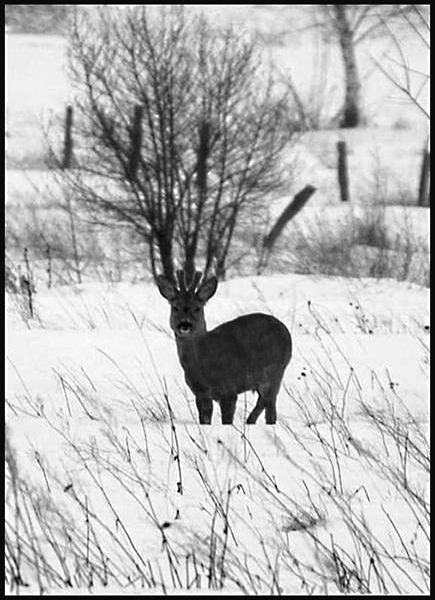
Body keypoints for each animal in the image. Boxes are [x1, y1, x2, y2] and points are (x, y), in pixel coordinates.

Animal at [157, 270, 292, 424]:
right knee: (269, 407)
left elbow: (227, 419)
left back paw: (250, 420)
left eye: (197, 308)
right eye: (175, 307)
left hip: (274, 372)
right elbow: (205, 419)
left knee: (266, 401)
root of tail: (286, 333)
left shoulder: (228, 389)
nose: (185, 325)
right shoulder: (201, 393)